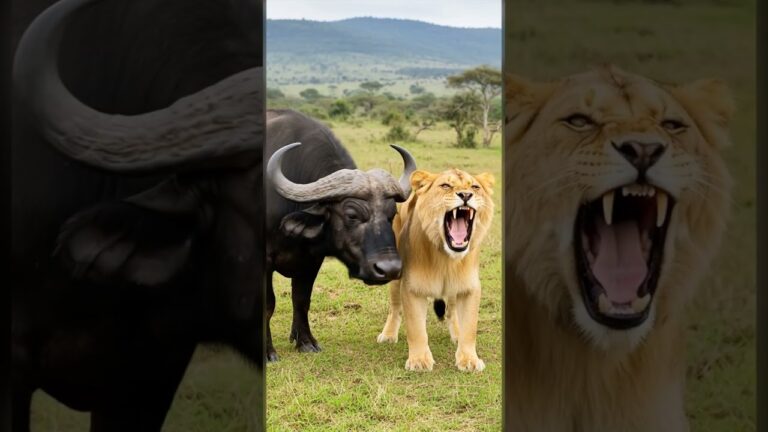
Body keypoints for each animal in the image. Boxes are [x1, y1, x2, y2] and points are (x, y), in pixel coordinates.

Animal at [265, 109, 415, 361]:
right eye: (352, 215)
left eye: (391, 214)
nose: (389, 269)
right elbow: (268, 304)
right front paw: (268, 351)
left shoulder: (311, 260)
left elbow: (301, 300)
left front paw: (305, 341)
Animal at [377, 168, 494, 372]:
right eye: (445, 185)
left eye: (474, 187)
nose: (466, 195)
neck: (446, 259)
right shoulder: (412, 288)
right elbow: (416, 329)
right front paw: (419, 361)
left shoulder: (470, 288)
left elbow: (470, 327)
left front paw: (469, 360)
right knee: (395, 308)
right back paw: (389, 335)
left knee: (452, 311)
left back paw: (456, 333)